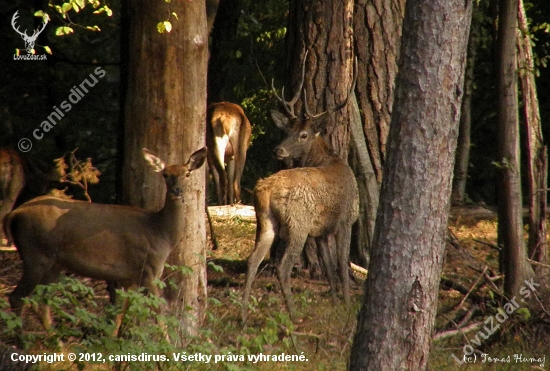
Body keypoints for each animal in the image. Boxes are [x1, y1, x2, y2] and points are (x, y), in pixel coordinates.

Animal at [4, 148, 207, 328]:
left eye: (187, 173)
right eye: (165, 174)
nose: (177, 190)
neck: (161, 233)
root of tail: (14, 214)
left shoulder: (128, 277)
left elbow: (118, 316)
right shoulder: (148, 269)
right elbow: (159, 314)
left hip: (55, 263)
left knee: (42, 302)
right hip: (35, 253)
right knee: (17, 297)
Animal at [244, 55, 360, 322]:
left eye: (303, 134)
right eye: (286, 130)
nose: (278, 149)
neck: (329, 159)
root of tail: (264, 191)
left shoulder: (321, 230)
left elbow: (328, 266)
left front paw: (335, 302)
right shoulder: (345, 219)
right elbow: (341, 263)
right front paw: (347, 305)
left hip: (265, 221)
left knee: (253, 260)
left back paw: (242, 312)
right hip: (298, 223)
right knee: (283, 266)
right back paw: (292, 314)